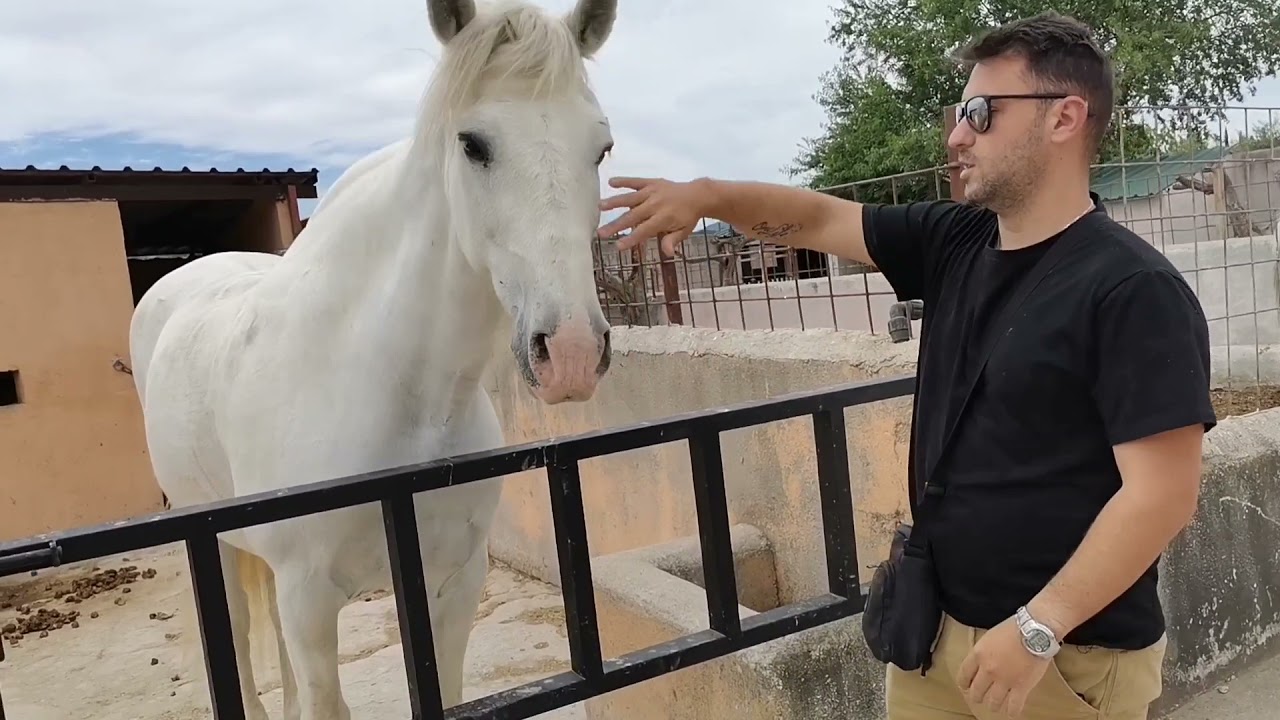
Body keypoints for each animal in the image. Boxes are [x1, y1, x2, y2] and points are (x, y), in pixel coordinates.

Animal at [126, 1, 619, 717]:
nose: (574, 354)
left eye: (601, 148)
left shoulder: (455, 582)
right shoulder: (309, 605)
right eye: (473, 144)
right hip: (215, 548)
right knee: (240, 644)